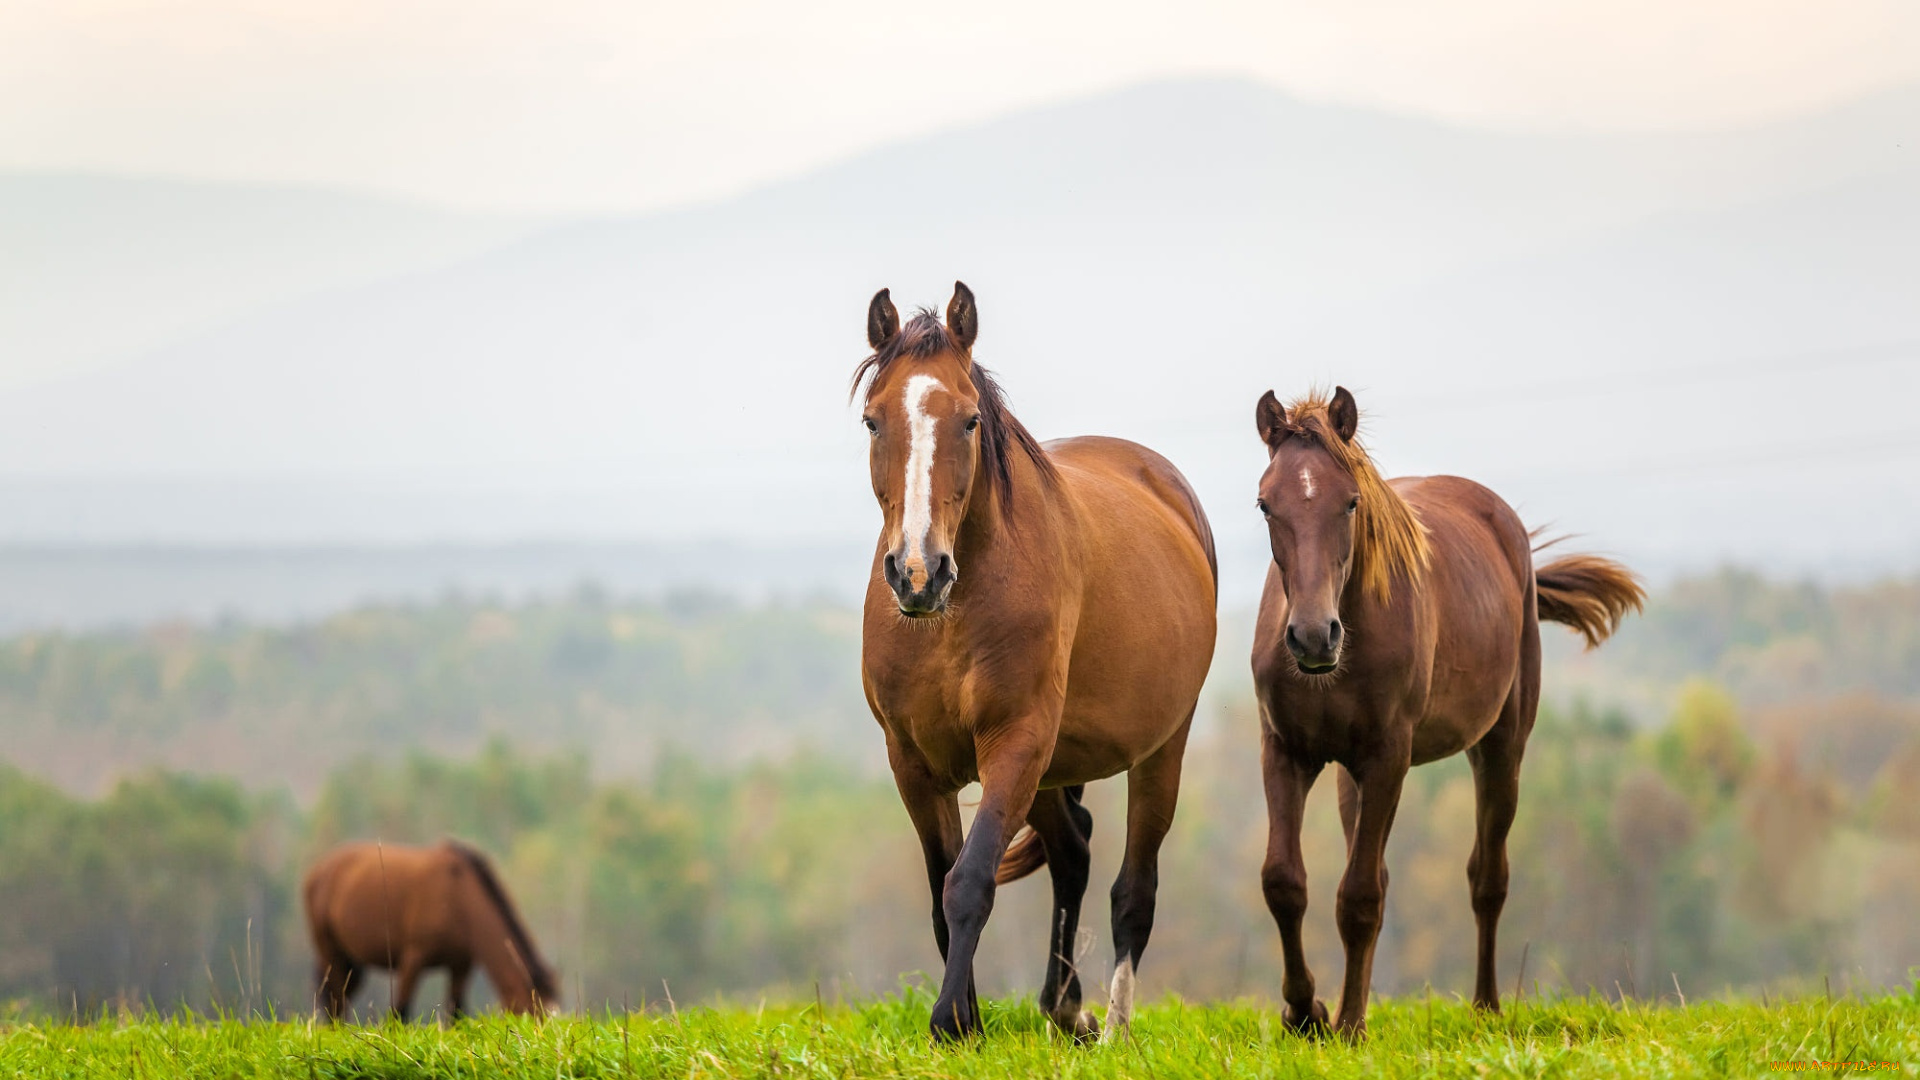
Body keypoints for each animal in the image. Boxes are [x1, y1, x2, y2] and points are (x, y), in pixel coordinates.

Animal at [297, 841, 556, 1014]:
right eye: (531, 1013)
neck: (458, 897)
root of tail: (318, 871)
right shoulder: (412, 959)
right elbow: (400, 1011)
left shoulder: (460, 965)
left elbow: (456, 1013)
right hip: (329, 950)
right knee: (335, 998)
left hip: (351, 959)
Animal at [856, 282, 1213, 1037]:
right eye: (873, 422)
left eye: (968, 421)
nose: (917, 572)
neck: (952, 618)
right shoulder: (913, 761)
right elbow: (941, 888)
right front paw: (967, 1019)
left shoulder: (1015, 741)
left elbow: (969, 881)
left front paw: (951, 1022)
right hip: (1054, 766)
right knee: (1073, 851)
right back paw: (1064, 1008)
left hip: (1159, 748)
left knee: (1134, 889)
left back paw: (1113, 1028)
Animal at [1251, 384, 1643, 1037]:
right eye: (1265, 504)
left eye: (1351, 502)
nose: (1312, 638)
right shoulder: (1287, 752)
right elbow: (1285, 883)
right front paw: (1307, 1013)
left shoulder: (1389, 757)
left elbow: (1360, 898)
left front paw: (1349, 1025)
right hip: (1351, 775)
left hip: (1500, 748)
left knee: (1487, 876)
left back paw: (1486, 1006)